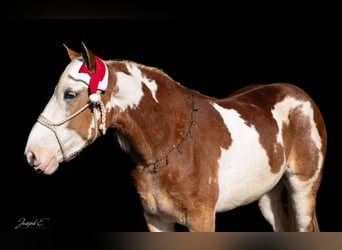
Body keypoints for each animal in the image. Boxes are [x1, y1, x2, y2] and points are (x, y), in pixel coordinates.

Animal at [23, 42, 326, 231]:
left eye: (70, 94)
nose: (33, 154)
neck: (170, 145)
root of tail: (301, 96)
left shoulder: (202, 220)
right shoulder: (156, 220)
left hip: (303, 189)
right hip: (267, 195)